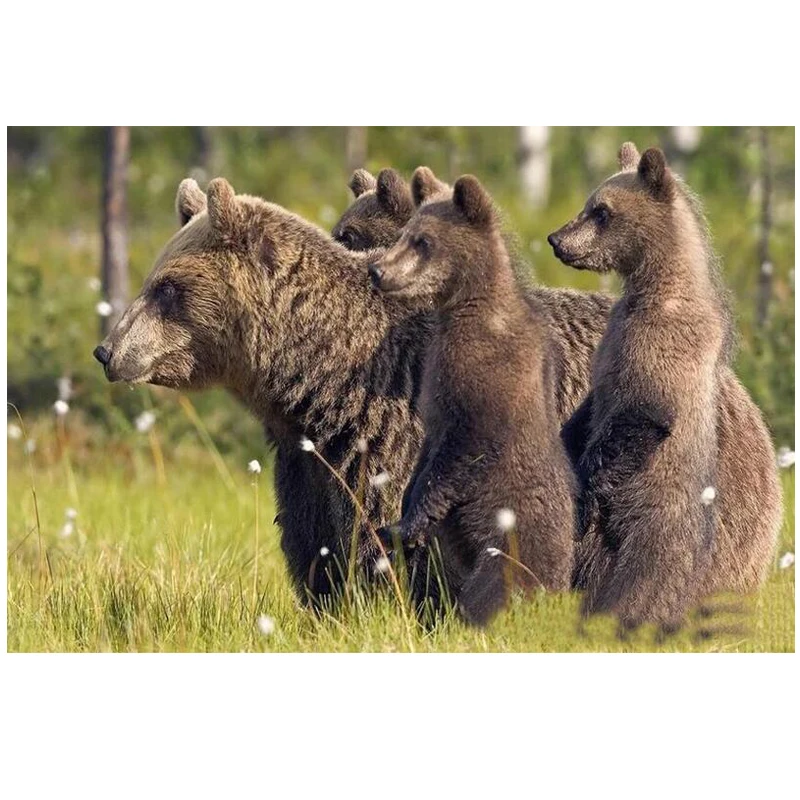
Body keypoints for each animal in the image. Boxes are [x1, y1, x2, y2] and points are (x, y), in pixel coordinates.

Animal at [369, 175, 575, 626]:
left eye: (423, 241)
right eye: (406, 233)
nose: (377, 270)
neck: (466, 307)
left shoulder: (486, 376)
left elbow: (465, 448)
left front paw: (406, 524)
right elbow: (428, 450)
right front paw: (400, 515)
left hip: (514, 539)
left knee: (493, 588)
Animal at [549, 142, 782, 629]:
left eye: (601, 211)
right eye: (589, 203)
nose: (557, 239)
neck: (654, 287)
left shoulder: (659, 348)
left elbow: (640, 416)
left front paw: (581, 495)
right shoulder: (612, 345)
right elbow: (589, 410)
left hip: (655, 522)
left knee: (639, 578)